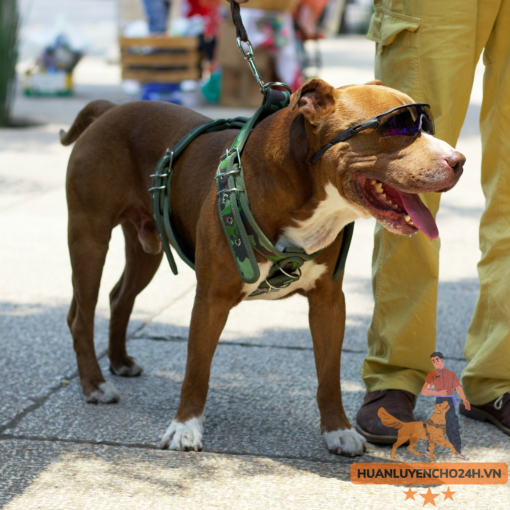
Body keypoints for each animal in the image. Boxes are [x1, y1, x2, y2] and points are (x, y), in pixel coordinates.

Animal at [61, 77, 464, 456]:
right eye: (399, 127)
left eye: (426, 124)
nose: (458, 161)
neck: (306, 192)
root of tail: (109, 108)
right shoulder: (211, 299)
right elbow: (197, 369)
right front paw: (184, 428)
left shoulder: (329, 302)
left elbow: (329, 374)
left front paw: (338, 430)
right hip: (89, 236)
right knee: (82, 314)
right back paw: (95, 385)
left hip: (147, 246)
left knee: (119, 297)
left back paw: (119, 361)